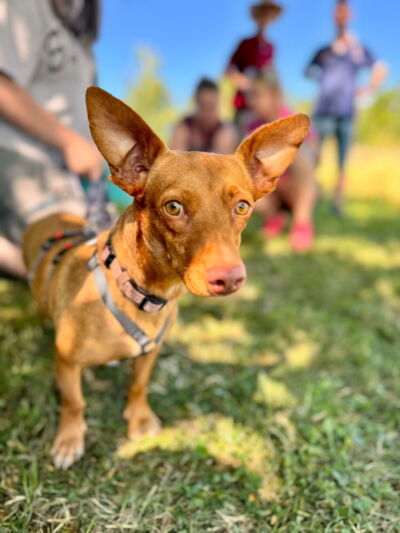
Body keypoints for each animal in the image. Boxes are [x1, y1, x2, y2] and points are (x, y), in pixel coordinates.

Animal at [23, 87, 310, 469]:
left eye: (243, 207)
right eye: (173, 207)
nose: (230, 278)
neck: (142, 293)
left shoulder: (149, 355)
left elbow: (138, 385)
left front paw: (139, 419)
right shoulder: (67, 364)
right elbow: (74, 403)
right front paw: (70, 439)